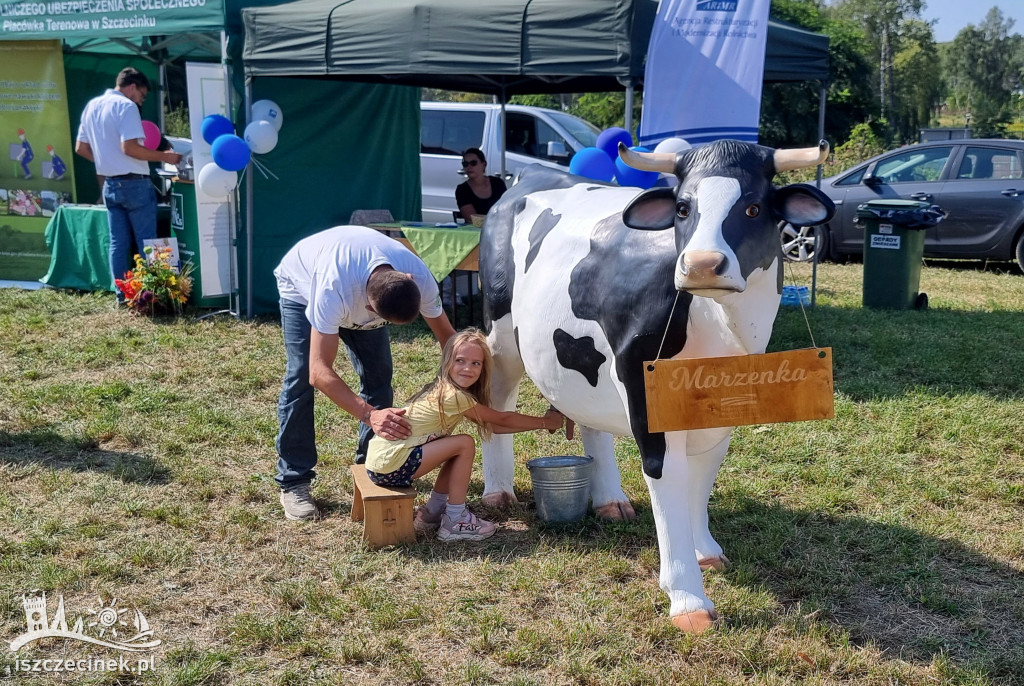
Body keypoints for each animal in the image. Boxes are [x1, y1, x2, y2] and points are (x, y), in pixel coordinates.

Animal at [475, 138, 835, 634]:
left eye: (753, 207)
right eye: (683, 207)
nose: (701, 265)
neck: (721, 325)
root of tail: (526, 176)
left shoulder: (720, 407)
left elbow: (702, 476)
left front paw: (706, 550)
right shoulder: (644, 393)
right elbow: (668, 479)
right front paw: (687, 598)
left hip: (587, 359)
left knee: (591, 420)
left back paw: (610, 500)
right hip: (500, 337)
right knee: (496, 401)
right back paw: (497, 492)